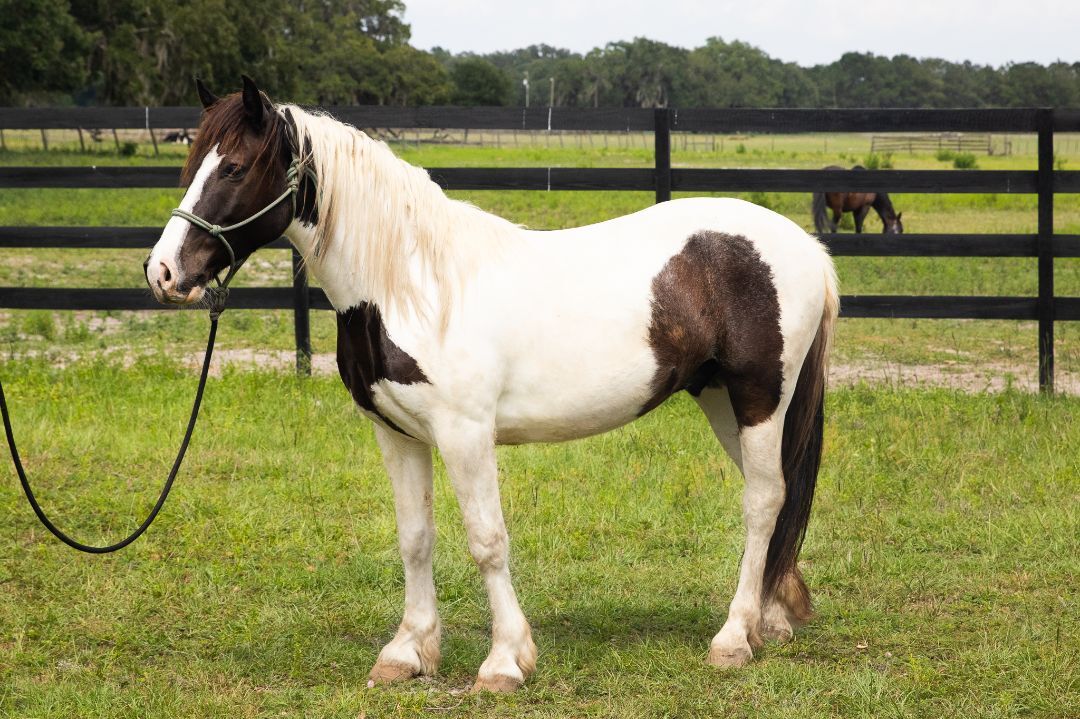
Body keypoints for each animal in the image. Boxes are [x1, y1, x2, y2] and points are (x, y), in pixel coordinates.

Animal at [146, 76, 839, 693]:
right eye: (193, 162)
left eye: (235, 168)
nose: (164, 272)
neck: (413, 286)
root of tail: (806, 248)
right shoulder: (397, 434)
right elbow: (415, 538)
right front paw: (408, 652)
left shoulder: (465, 434)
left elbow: (486, 541)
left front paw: (505, 661)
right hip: (725, 402)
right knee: (775, 497)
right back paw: (771, 621)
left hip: (759, 398)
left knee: (762, 503)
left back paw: (733, 638)